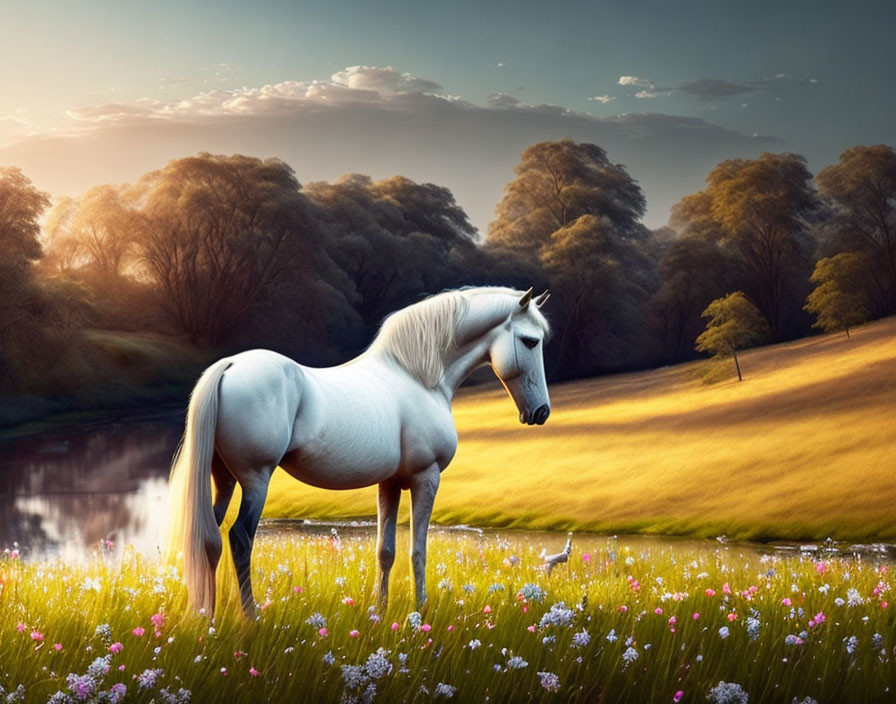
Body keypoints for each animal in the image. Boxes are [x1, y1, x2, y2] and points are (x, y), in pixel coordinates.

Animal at [164, 286, 548, 616]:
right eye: (530, 341)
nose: (541, 412)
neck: (418, 377)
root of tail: (229, 366)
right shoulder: (426, 477)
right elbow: (418, 550)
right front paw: (420, 610)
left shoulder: (390, 483)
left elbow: (386, 551)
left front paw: (380, 612)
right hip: (256, 479)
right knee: (240, 538)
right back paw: (251, 618)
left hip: (223, 478)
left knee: (208, 538)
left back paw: (209, 617)